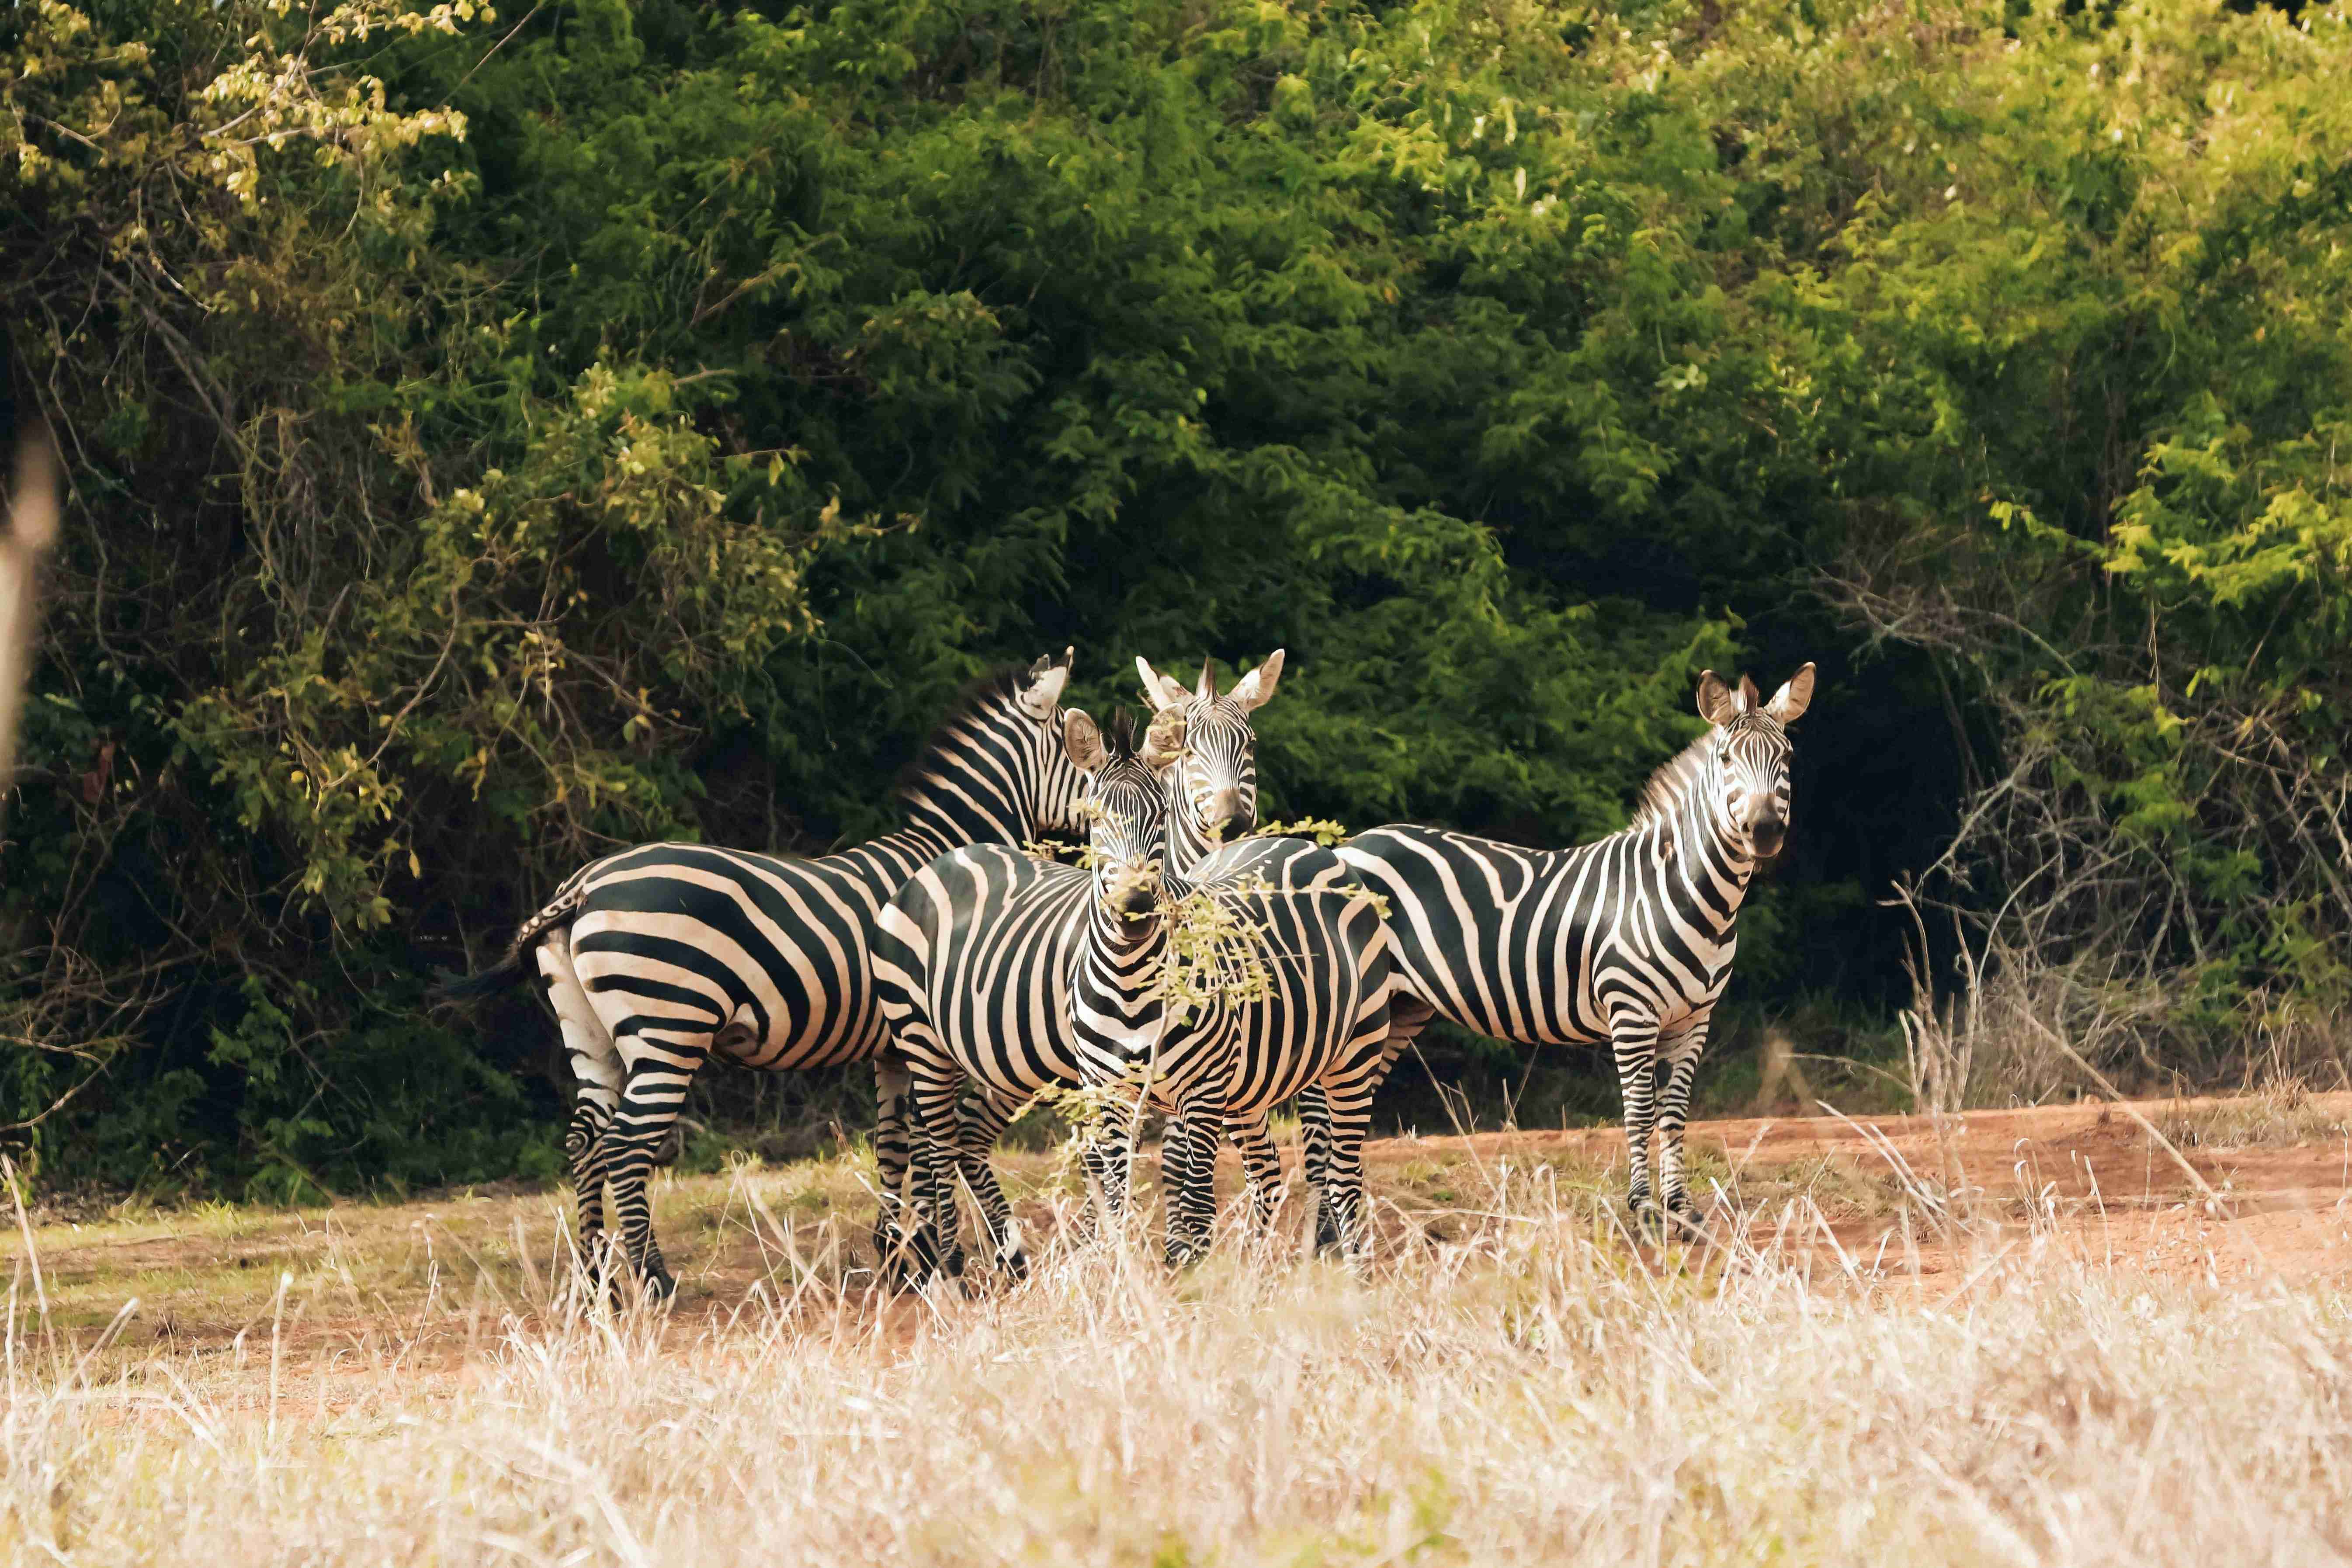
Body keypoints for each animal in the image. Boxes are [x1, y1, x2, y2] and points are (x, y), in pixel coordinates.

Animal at [430, 652, 1089, 1297]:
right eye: (1091, 753)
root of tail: (583, 887)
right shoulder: (922, 1033)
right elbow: (929, 1145)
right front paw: (926, 1257)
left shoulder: (893, 1047)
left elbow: (894, 1146)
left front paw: (898, 1258)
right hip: (668, 1029)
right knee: (624, 1147)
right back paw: (654, 1280)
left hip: (591, 1037)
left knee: (584, 1142)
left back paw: (597, 1283)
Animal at [877, 700, 1394, 1275]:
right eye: (1096, 818)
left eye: (1160, 816)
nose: (1135, 905)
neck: (1128, 978)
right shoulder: (1108, 1092)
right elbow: (1117, 1194)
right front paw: (1121, 1274)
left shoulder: (1200, 1091)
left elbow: (1191, 1199)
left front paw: (1183, 1274)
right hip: (926, 1041)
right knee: (941, 1144)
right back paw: (953, 1264)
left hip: (1349, 1055)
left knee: (1340, 1177)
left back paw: (1346, 1275)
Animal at [1333, 664, 1816, 1228]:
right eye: (1726, 760)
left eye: (1787, 757)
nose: (1764, 832)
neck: (1689, 892)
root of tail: (1351, 845)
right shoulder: (1632, 1013)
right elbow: (1640, 1110)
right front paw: (1643, 1207)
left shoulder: (1695, 1019)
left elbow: (1675, 1113)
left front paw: (1680, 1208)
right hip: (1360, 1006)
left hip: (1400, 1007)